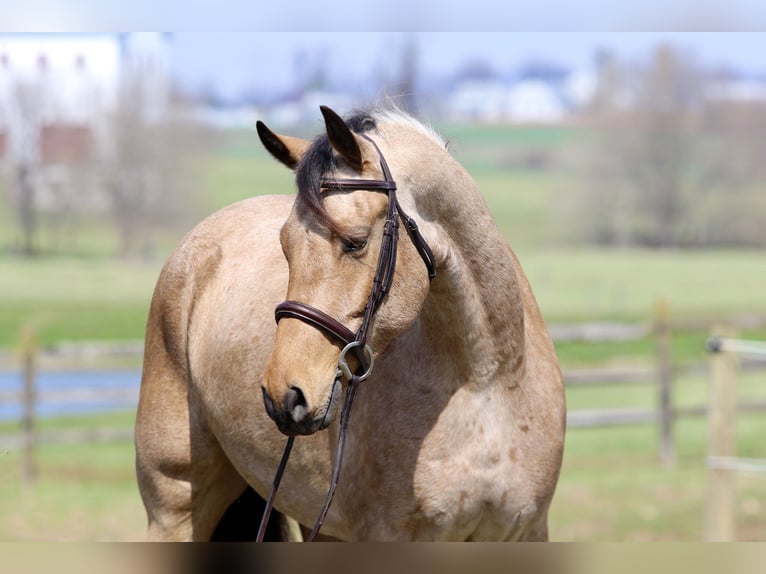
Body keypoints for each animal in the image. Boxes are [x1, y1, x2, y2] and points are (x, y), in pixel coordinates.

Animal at [135, 105, 566, 541]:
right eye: (285, 247)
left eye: (355, 242)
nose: (283, 397)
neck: (484, 383)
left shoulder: (527, 530)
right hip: (175, 509)